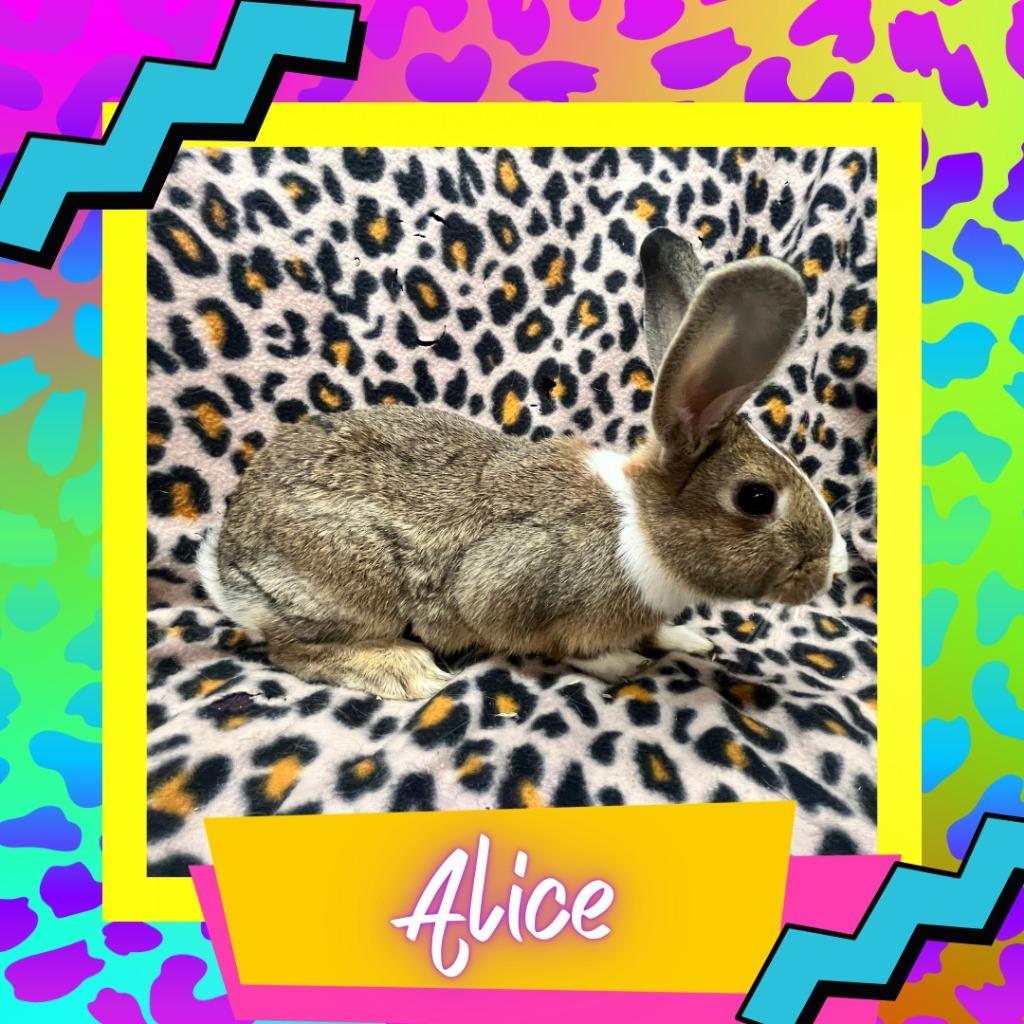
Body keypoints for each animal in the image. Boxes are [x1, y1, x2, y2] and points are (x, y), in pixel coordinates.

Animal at [197, 227, 848, 700]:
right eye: (756, 498)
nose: (833, 565)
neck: (642, 525)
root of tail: (227, 566)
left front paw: (687, 638)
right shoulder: (514, 585)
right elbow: (555, 642)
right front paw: (623, 663)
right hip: (351, 584)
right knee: (289, 649)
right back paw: (404, 671)